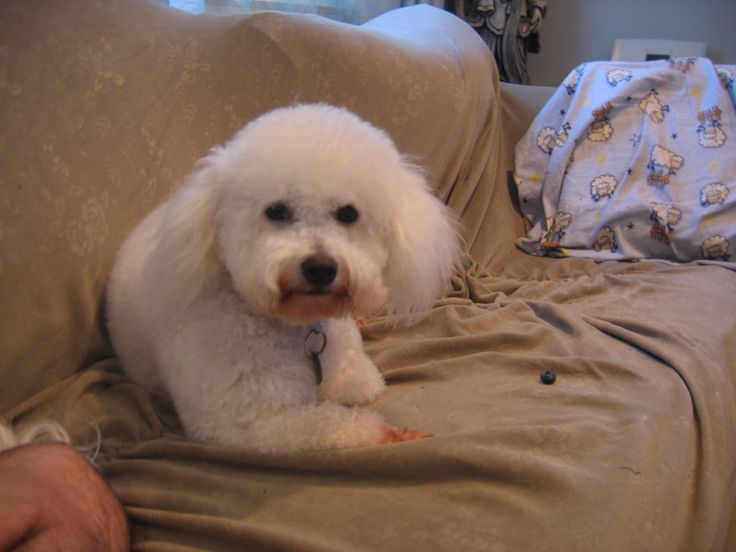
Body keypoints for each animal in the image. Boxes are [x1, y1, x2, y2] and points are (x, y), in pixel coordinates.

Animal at [106, 103, 458, 452]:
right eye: (276, 210)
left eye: (348, 213)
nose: (320, 268)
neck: (297, 326)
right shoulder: (242, 422)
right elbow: (328, 423)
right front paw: (381, 431)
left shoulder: (347, 366)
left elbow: (363, 380)